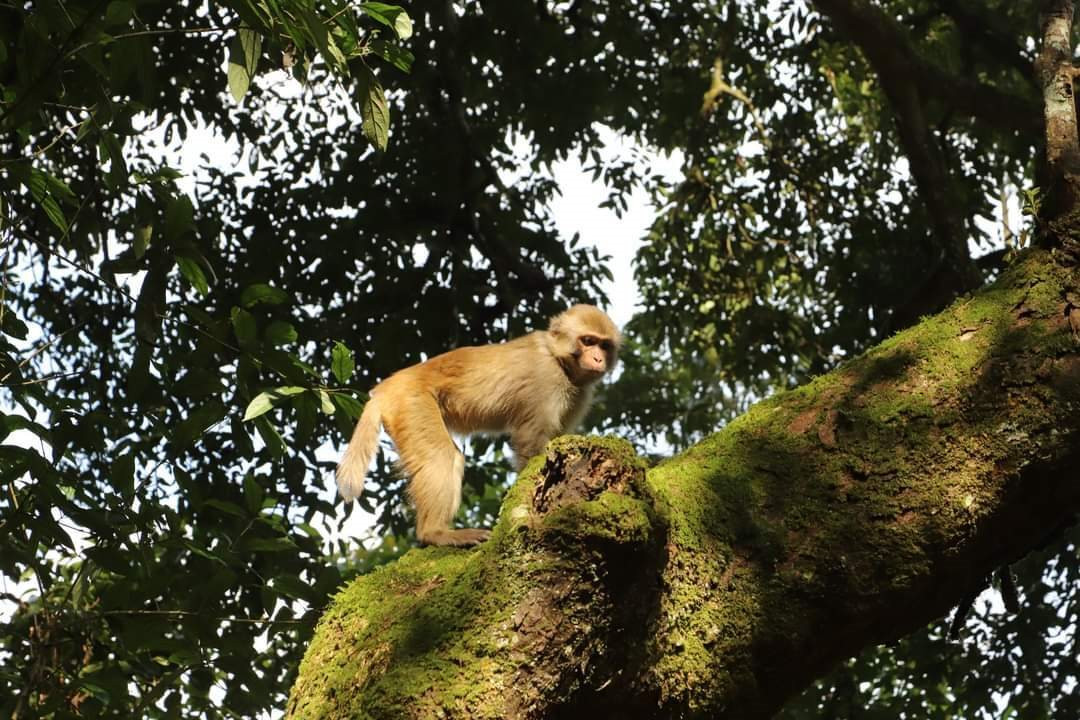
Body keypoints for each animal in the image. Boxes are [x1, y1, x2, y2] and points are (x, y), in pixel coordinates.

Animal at [336, 304, 626, 546]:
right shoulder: (546, 380)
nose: (598, 359)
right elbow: (531, 444)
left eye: (604, 345)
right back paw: (435, 533)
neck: (557, 359)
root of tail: (387, 386)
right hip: (411, 401)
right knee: (440, 456)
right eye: (587, 341)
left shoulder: (579, 393)